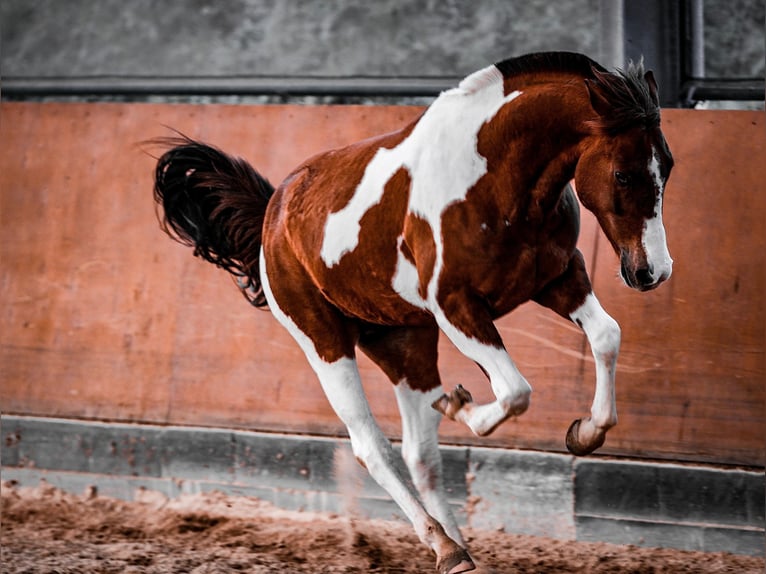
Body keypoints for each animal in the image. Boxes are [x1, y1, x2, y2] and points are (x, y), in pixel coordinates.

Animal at [152, 51, 673, 574]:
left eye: (667, 167)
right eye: (624, 173)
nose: (652, 271)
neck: (495, 181)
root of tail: (272, 213)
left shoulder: (559, 280)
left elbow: (606, 336)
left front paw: (585, 433)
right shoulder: (456, 306)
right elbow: (515, 391)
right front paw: (461, 405)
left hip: (405, 344)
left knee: (421, 455)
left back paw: (456, 548)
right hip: (323, 341)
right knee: (373, 448)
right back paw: (442, 540)